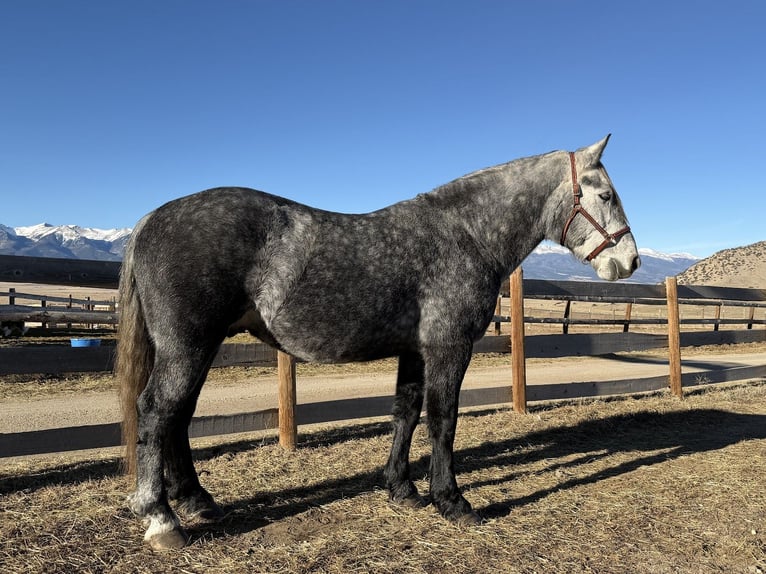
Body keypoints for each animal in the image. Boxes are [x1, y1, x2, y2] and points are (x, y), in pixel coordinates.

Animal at [117, 135, 640, 549]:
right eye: (607, 194)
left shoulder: (414, 352)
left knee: (178, 417)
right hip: (188, 347)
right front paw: (452, 501)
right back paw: (162, 520)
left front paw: (402, 490)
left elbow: (404, 412)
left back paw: (196, 500)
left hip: (196, 348)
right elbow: (443, 420)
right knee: (157, 412)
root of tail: (151, 218)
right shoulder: (449, 348)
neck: (466, 235)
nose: (631, 261)